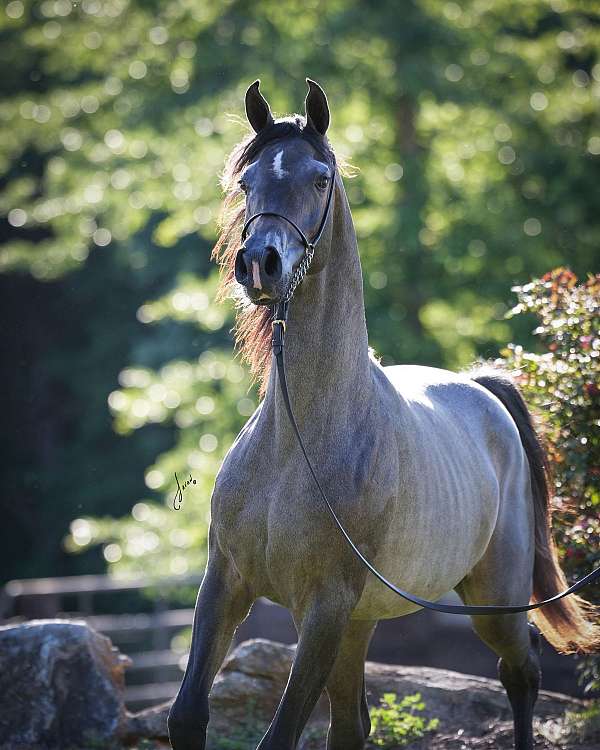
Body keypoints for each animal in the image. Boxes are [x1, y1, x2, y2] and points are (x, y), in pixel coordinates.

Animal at [167, 79, 598, 750]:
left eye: (321, 178)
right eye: (246, 180)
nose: (259, 263)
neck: (298, 442)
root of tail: (481, 391)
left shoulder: (323, 609)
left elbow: (280, 734)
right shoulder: (226, 586)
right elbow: (187, 714)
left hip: (491, 601)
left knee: (521, 672)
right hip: (362, 622)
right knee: (353, 725)